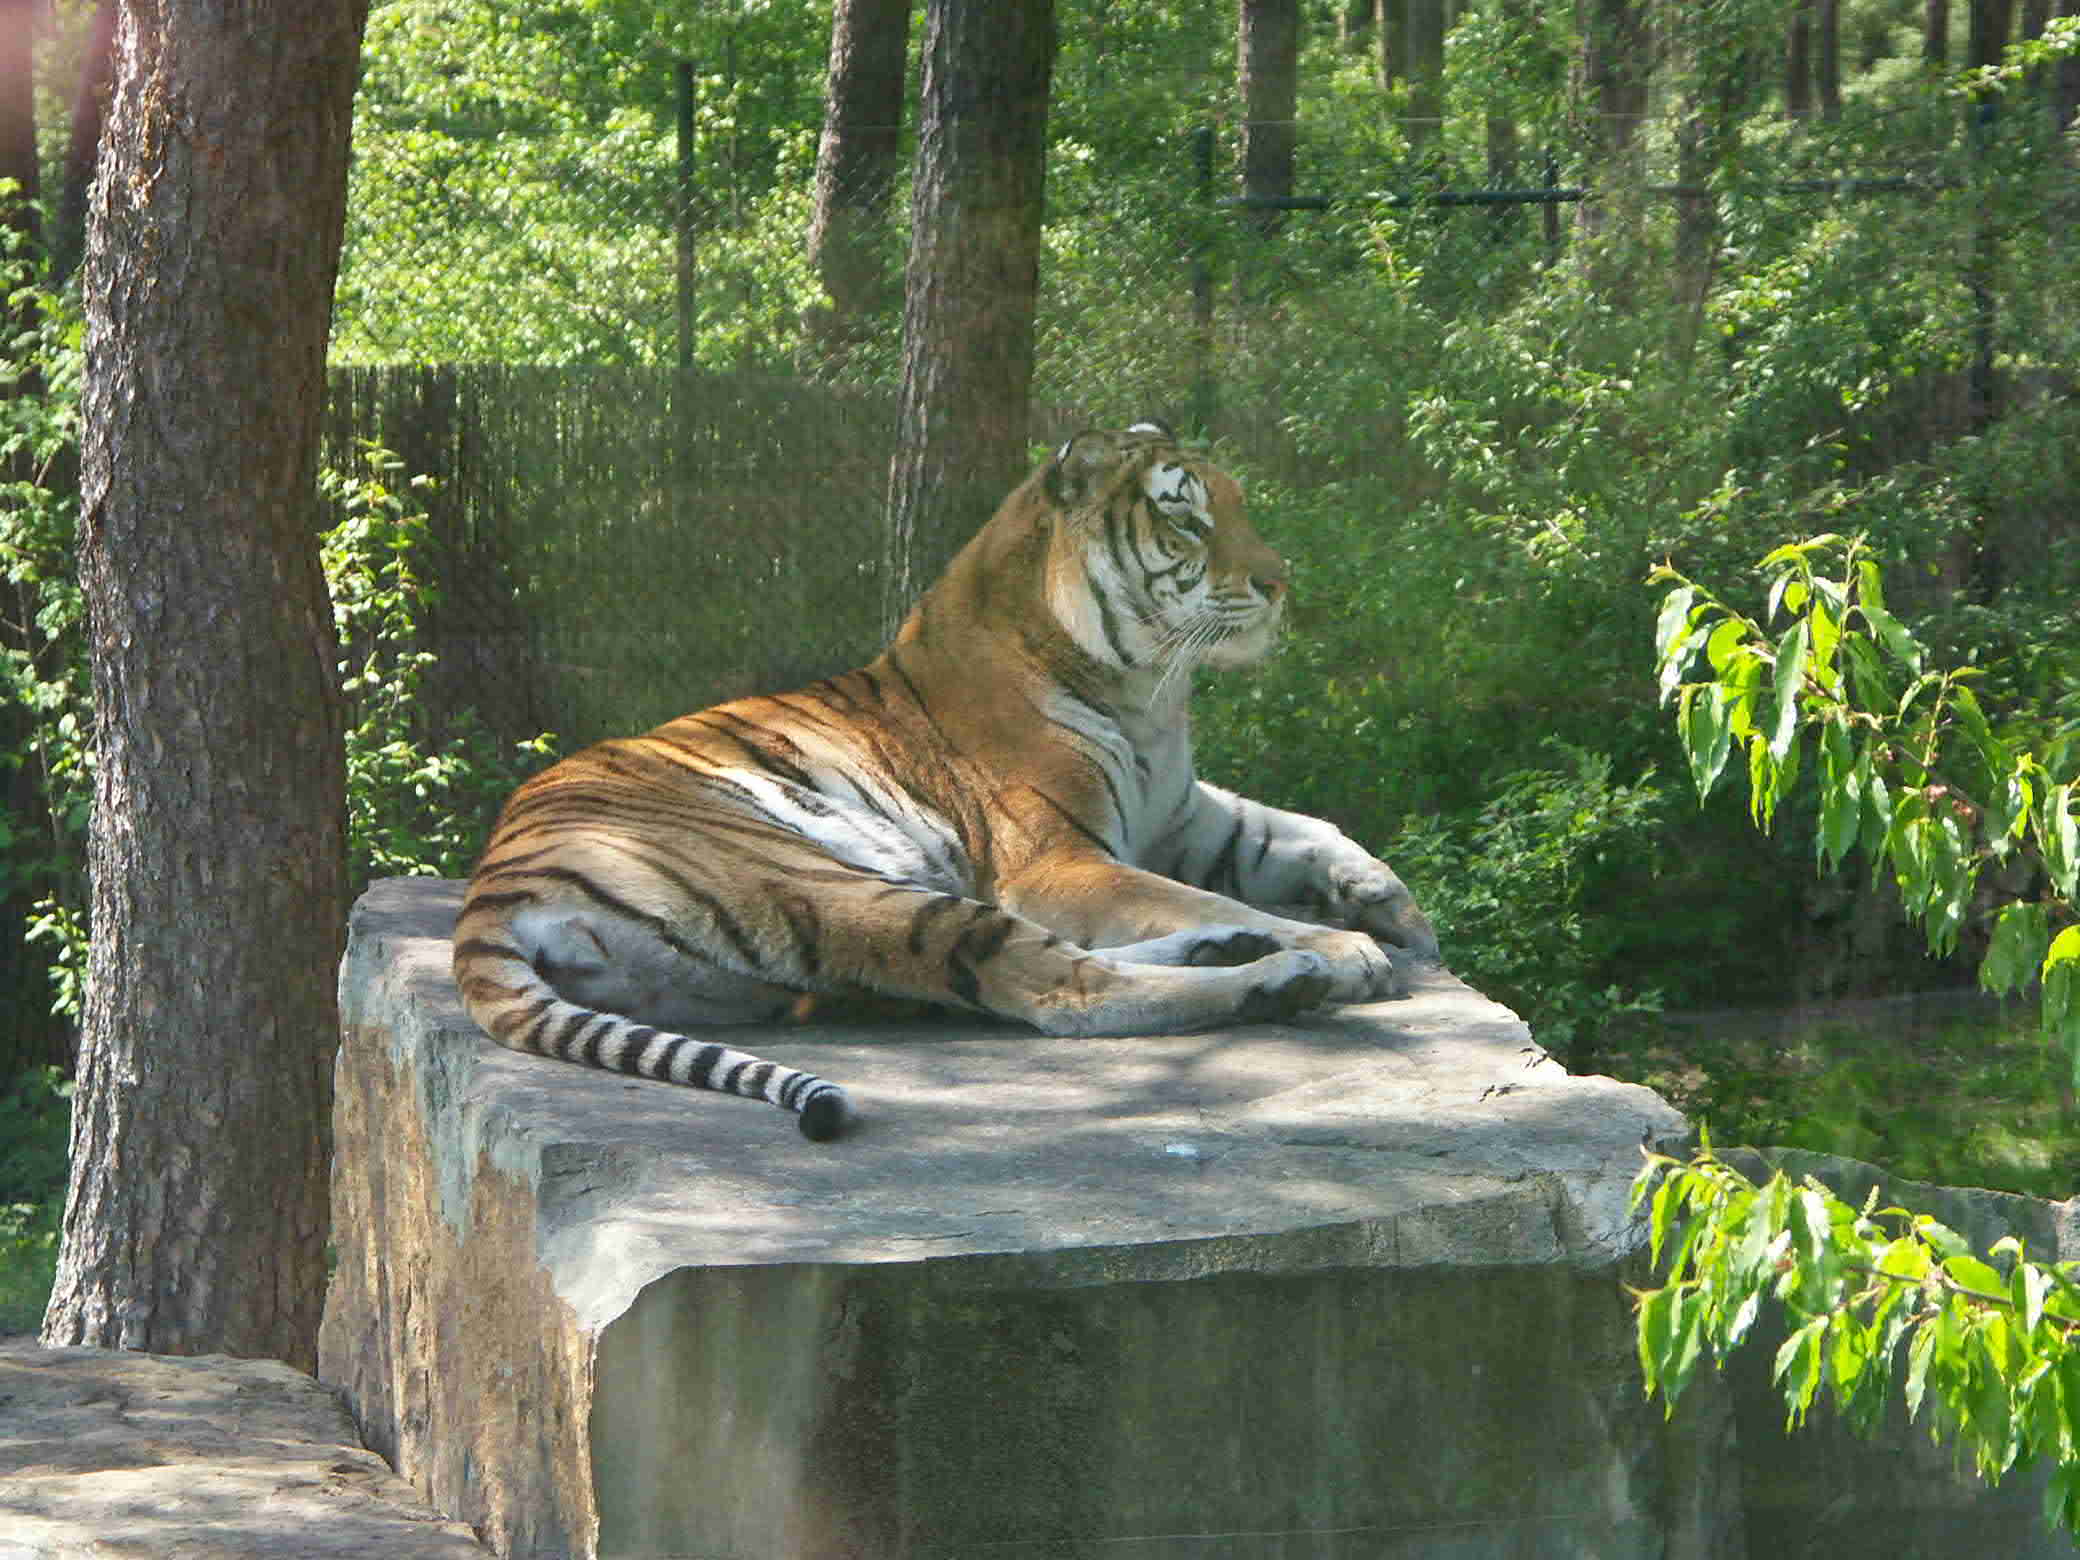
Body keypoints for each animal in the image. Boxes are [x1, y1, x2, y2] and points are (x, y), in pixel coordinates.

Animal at [451, 420, 1437, 1141]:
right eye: (1189, 520)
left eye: (1239, 505)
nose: (1279, 582)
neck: (1148, 691)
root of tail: (491, 893)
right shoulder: (1061, 860)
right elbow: (1200, 894)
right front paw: (1350, 946)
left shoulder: (1181, 813)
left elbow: (1293, 829)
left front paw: (1391, 904)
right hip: (824, 880)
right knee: (1059, 989)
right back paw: (1282, 972)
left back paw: (1240, 954)